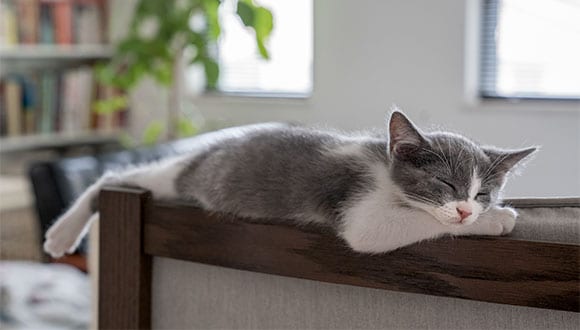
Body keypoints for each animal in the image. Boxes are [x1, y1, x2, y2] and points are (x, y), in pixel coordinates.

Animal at [43, 111, 536, 258]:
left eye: (481, 192)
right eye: (444, 184)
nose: (469, 209)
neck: (385, 171)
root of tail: (211, 147)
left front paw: (489, 216)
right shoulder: (358, 205)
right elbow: (388, 229)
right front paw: (496, 222)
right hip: (176, 178)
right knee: (113, 176)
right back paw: (62, 233)